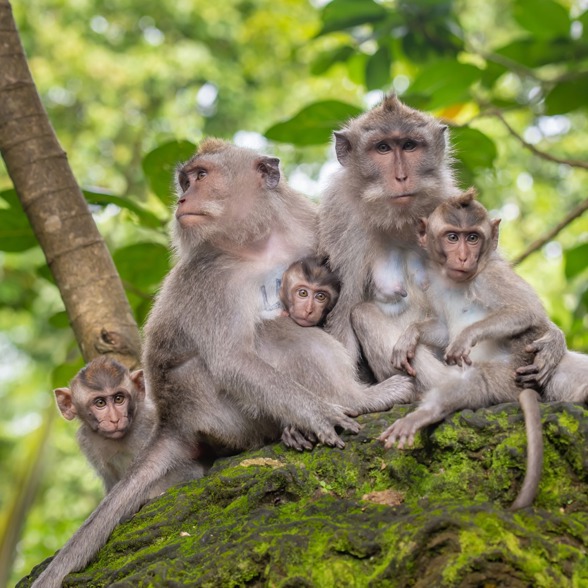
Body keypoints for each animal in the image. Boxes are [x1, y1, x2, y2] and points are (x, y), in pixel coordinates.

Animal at [31, 139, 408, 588]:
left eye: (201, 176)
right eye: (186, 180)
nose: (182, 199)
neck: (259, 241)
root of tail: (172, 420)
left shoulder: (309, 225)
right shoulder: (211, 275)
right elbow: (232, 360)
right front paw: (318, 414)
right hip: (220, 413)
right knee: (271, 334)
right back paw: (353, 401)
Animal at [320, 93, 568, 386]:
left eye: (409, 145)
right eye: (382, 148)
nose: (401, 176)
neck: (398, 221)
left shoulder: (449, 200)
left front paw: (552, 339)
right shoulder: (341, 223)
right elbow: (342, 311)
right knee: (362, 313)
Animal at [378, 191, 584, 508]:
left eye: (473, 238)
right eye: (453, 237)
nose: (464, 256)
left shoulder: (492, 275)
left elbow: (526, 311)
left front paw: (466, 336)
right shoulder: (432, 283)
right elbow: (441, 327)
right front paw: (410, 335)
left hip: (512, 375)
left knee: (479, 379)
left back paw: (426, 413)